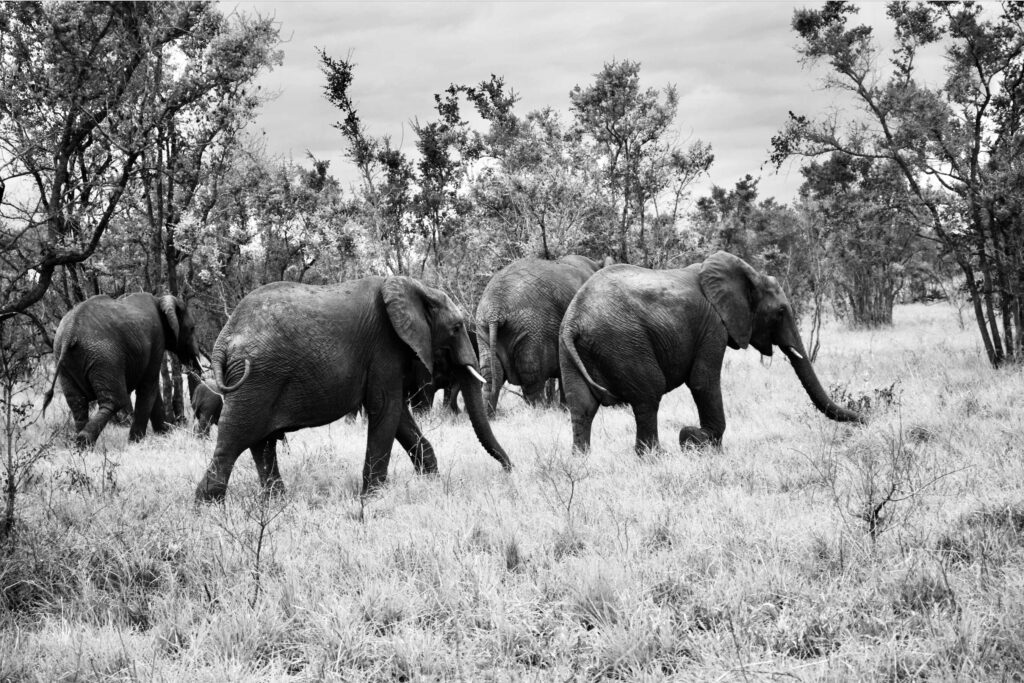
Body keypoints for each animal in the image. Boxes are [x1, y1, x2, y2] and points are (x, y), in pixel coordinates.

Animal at [43, 294, 202, 448]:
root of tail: (69, 333)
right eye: (192, 328)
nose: (193, 367)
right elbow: (148, 386)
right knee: (115, 400)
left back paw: (81, 447)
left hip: (65, 361)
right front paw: (136, 443)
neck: (160, 300)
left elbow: (152, 389)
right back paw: (84, 441)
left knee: (77, 403)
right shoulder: (157, 339)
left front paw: (164, 435)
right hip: (105, 356)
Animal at [192, 274, 512, 501]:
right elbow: (386, 409)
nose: (509, 470)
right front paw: (374, 498)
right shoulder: (384, 348)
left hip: (259, 380)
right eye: (456, 328)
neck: (415, 287)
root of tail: (224, 338)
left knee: (262, 443)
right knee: (234, 440)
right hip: (255, 380)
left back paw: (275, 503)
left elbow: (399, 417)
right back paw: (208, 507)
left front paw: (430, 483)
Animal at [475, 254, 610, 413]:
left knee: (490, 379)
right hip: (532, 329)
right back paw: (539, 412)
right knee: (532, 379)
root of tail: (495, 307)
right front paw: (566, 410)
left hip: (484, 330)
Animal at [561, 250, 864, 454]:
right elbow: (702, 381)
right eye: (780, 312)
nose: (865, 421)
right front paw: (698, 442)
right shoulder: (713, 326)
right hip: (625, 341)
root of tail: (575, 319)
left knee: (582, 405)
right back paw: (654, 457)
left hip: (570, 348)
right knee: (648, 395)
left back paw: (582, 460)